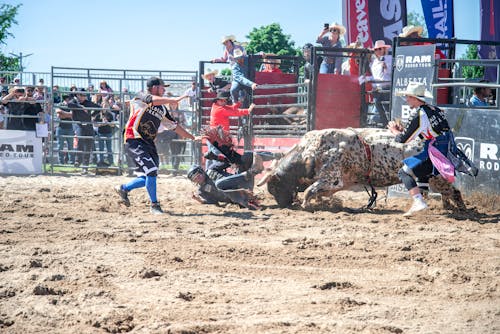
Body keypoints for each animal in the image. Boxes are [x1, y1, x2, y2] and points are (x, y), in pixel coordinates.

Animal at [260, 128, 466, 211]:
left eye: (275, 187)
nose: (283, 205)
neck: (309, 154)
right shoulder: (338, 183)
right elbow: (320, 192)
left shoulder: (333, 178)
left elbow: (311, 190)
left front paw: (306, 204)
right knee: (448, 192)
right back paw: (447, 207)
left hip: (436, 177)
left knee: (454, 191)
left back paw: (461, 209)